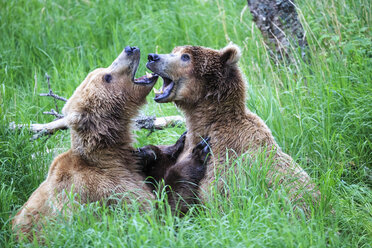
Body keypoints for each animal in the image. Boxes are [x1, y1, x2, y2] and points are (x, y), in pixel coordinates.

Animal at [11, 46, 160, 238]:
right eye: (107, 76)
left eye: (103, 69)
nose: (130, 49)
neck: (109, 152)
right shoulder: (106, 188)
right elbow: (141, 207)